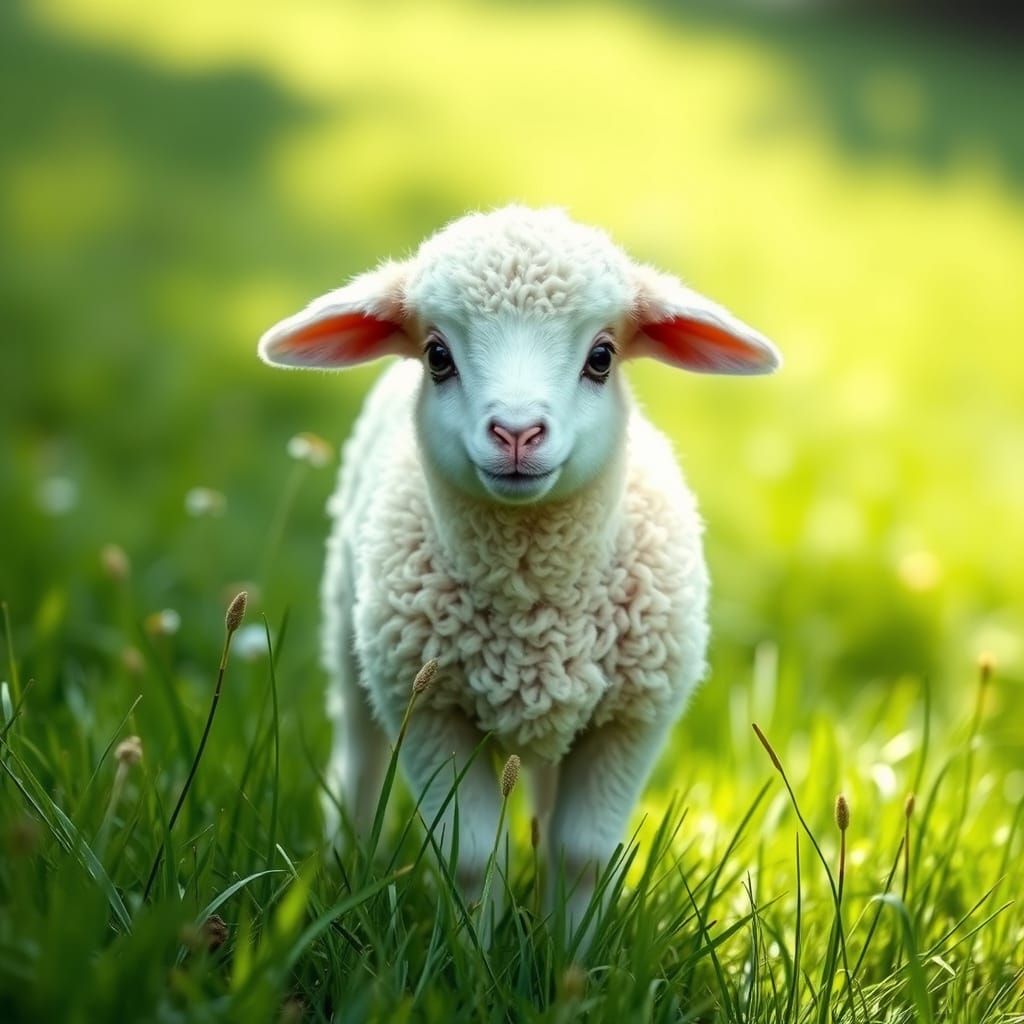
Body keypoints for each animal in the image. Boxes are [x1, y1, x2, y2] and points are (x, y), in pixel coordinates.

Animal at [258, 205, 780, 942]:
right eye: (438, 356)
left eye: (601, 357)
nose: (516, 432)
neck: (536, 603)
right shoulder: (433, 709)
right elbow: (472, 856)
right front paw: (472, 952)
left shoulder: (632, 717)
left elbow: (583, 853)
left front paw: (570, 954)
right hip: (352, 636)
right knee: (359, 756)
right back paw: (343, 864)